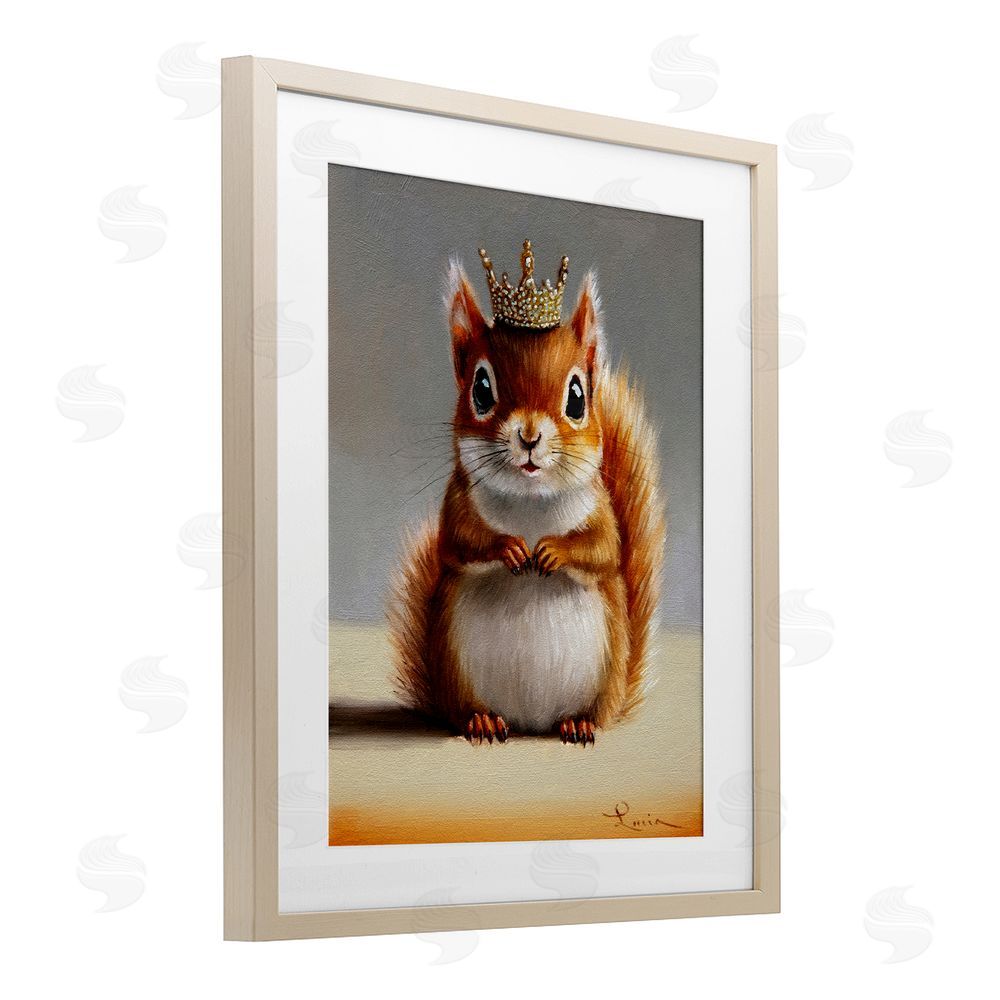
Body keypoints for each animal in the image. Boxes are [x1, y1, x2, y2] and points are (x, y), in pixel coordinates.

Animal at [389, 241, 665, 746]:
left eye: (578, 397)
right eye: (481, 389)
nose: (530, 436)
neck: (530, 501)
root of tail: (530, 723)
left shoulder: (601, 510)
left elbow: (603, 549)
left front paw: (553, 552)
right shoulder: (456, 504)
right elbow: (459, 542)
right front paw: (510, 548)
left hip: (605, 673)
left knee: (590, 713)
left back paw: (579, 723)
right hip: (455, 667)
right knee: (467, 712)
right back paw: (481, 720)